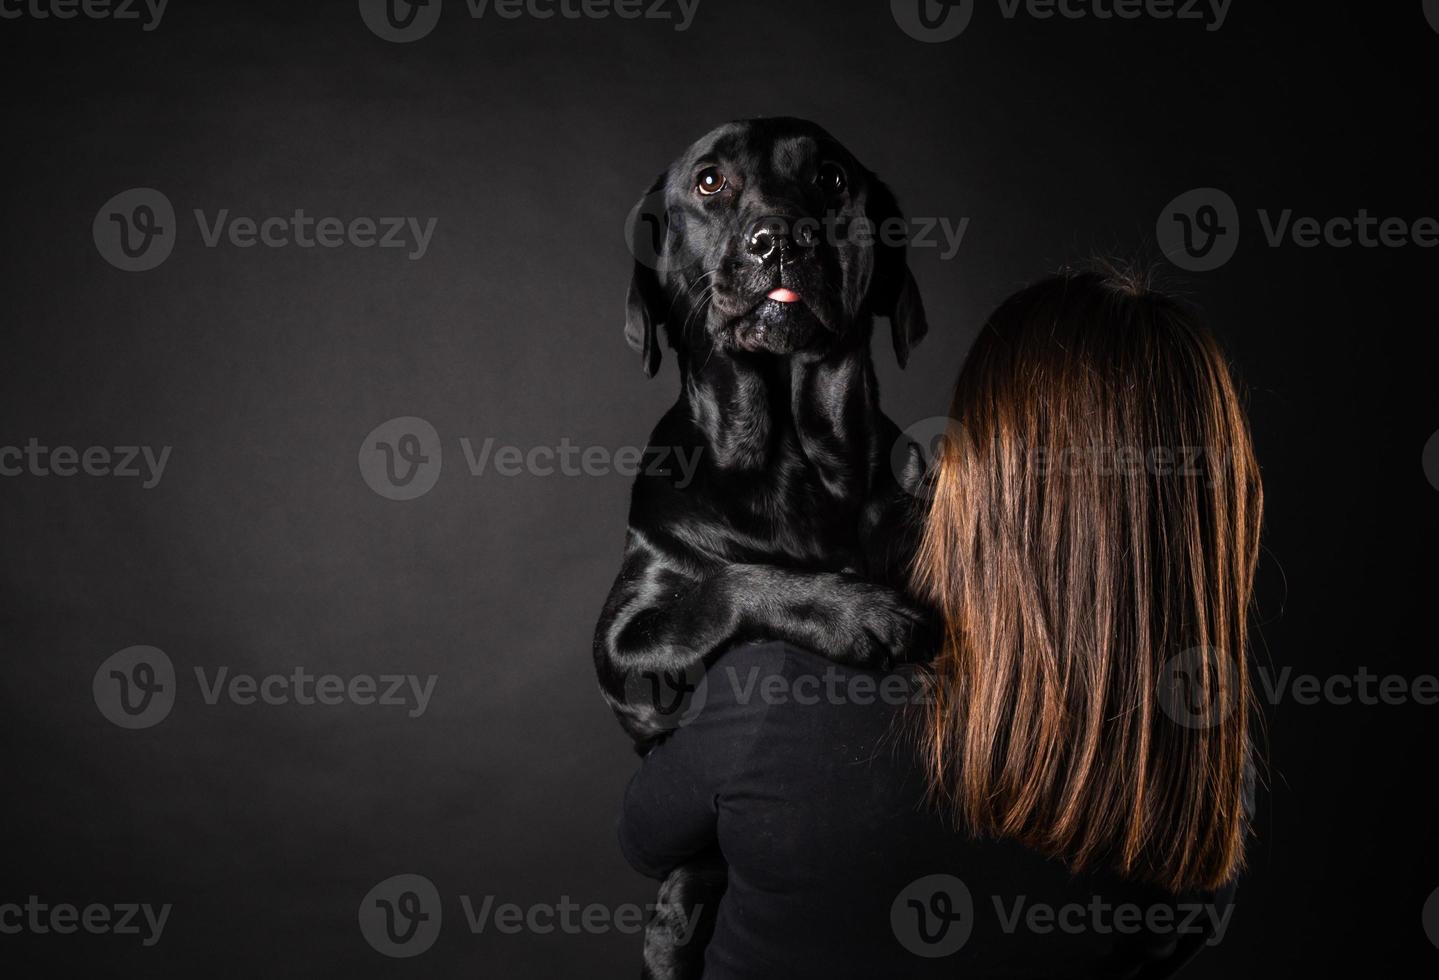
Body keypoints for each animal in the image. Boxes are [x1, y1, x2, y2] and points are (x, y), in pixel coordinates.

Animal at [592, 118, 932, 972]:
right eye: (709, 181)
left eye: (832, 179)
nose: (779, 238)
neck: (783, 458)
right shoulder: (620, 632)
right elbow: (727, 584)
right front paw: (854, 613)